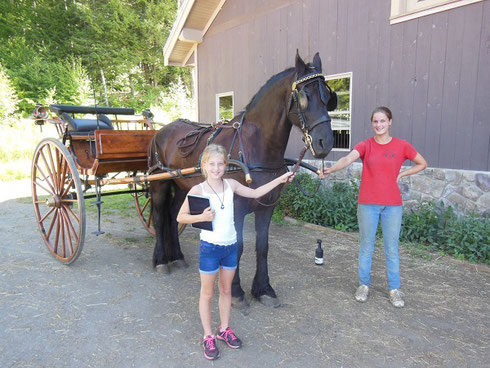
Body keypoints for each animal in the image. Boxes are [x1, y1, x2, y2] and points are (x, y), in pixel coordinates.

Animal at [148, 50, 336, 306]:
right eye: (304, 96)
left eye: (328, 96)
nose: (325, 142)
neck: (254, 146)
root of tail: (160, 131)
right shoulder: (235, 207)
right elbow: (237, 245)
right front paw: (235, 291)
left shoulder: (266, 206)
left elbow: (262, 246)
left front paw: (264, 289)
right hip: (159, 182)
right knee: (159, 218)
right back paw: (160, 261)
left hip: (184, 186)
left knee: (174, 215)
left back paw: (176, 257)